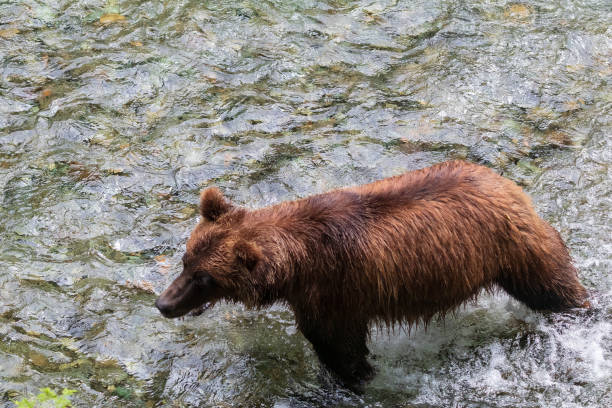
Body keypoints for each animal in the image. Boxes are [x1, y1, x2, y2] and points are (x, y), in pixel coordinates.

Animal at [157, 161, 588, 390]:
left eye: (205, 279)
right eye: (186, 261)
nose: (164, 303)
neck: (297, 267)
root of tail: (507, 184)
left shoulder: (334, 291)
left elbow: (338, 345)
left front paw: (358, 377)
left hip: (513, 248)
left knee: (553, 285)